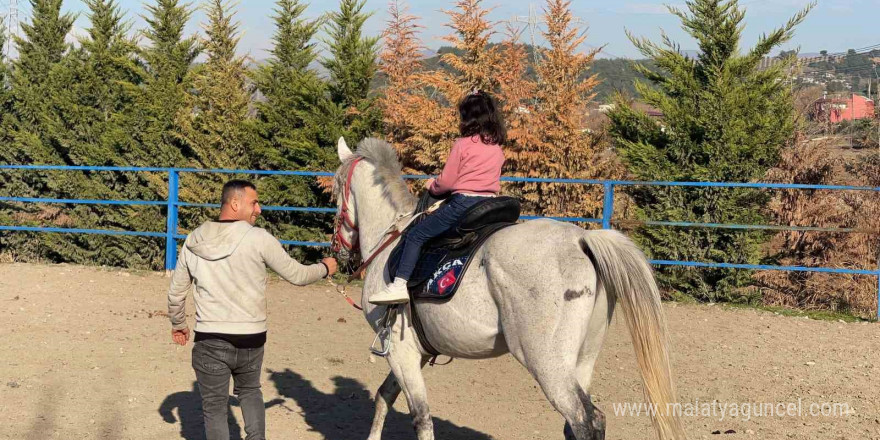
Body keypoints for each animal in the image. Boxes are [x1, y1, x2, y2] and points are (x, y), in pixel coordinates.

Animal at [330, 138, 688, 440]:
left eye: (335, 195)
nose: (338, 253)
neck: (391, 240)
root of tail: (582, 240)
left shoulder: (401, 353)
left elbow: (421, 418)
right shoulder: (411, 352)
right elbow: (384, 397)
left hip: (548, 364)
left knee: (585, 420)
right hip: (582, 360)